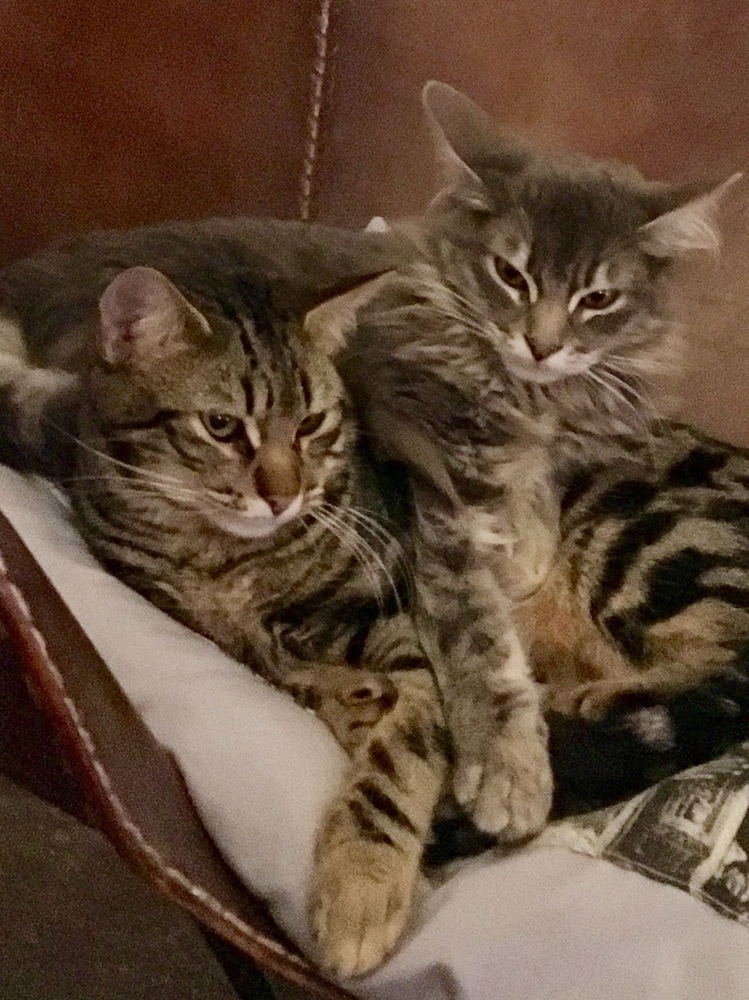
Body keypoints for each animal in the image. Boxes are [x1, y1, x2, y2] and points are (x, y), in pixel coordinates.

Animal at [0, 220, 450, 977]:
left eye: (311, 425)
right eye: (220, 426)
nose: (284, 494)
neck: (225, 560)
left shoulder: (403, 613)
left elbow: (403, 750)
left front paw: (362, 884)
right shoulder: (176, 606)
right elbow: (277, 668)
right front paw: (349, 700)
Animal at [338, 81, 740, 842]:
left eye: (597, 298)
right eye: (511, 275)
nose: (542, 345)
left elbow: (481, 639)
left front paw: (508, 767)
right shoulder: (441, 510)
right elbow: (477, 635)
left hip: (640, 533)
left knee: (728, 664)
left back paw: (586, 701)